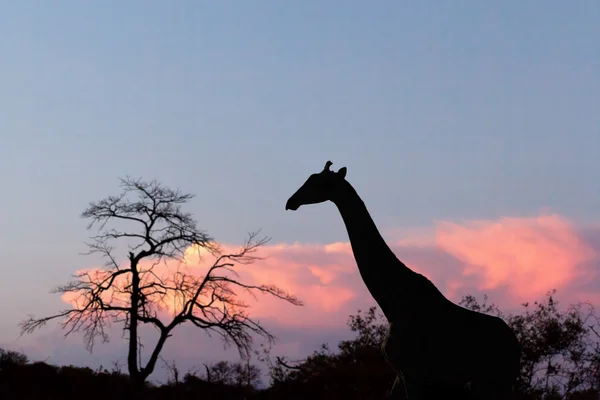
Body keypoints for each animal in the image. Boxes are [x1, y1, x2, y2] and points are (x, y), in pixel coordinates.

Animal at [286, 161, 520, 398]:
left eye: (322, 183)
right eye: (309, 178)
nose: (291, 202)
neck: (392, 304)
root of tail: (516, 345)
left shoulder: (413, 373)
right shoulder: (399, 374)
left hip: (492, 380)